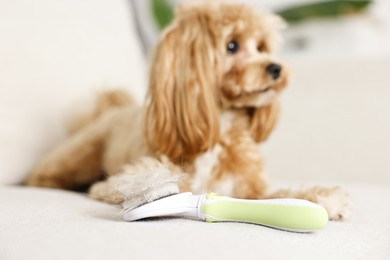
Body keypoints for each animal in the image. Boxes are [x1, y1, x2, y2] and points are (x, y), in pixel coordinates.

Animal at [26, 1, 350, 220]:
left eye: (261, 46)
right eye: (232, 46)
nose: (275, 68)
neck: (220, 124)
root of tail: (109, 110)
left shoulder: (249, 191)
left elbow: (280, 195)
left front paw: (324, 198)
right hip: (76, 156)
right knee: (40, 175)